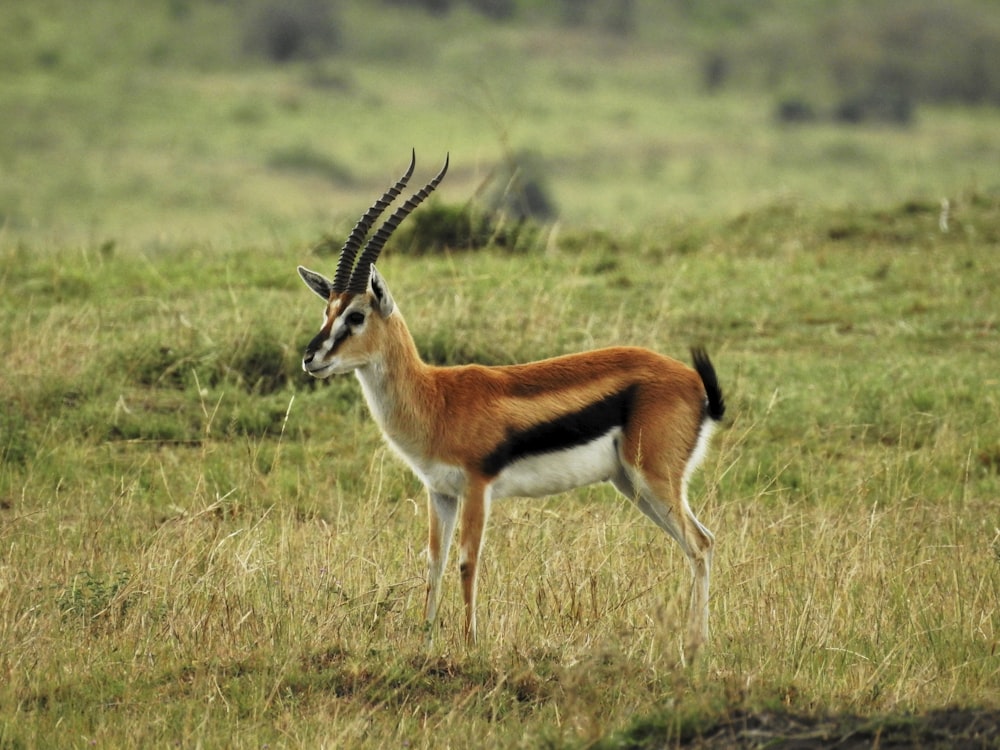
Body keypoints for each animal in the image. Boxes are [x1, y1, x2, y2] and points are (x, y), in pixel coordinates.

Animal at [296, 154, 728, 656]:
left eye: (356, 315)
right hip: (631, 483)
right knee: (697, 544)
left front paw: (470, 645)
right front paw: (425, 644)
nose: (312, 358)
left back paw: (696, 647)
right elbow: (434, 562)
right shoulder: (440, 492)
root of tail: (693, 383)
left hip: (654, 478)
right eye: (327, 310)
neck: (436, 398)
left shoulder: (477, 487)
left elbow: (468, 561)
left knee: (701, 543)